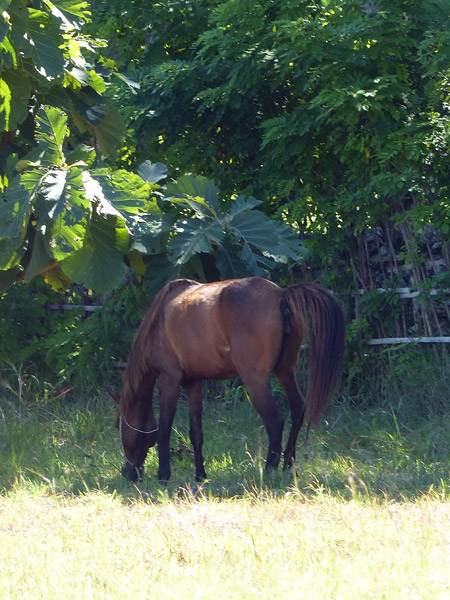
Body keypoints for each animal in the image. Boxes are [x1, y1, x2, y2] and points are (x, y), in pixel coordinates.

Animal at [111, 278, 344, 482]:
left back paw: (270, 470)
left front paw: (163, 475)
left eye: (120, 427)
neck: (158, 320)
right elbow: (196, 433)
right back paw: (287, 464)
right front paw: (200, 474)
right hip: (285, 370)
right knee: (298, 409)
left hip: (256, 381)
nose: (128, 472)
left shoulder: (168, 380)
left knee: (275, 422)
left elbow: (164, 430)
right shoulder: (194, 383)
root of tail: (280, 294)